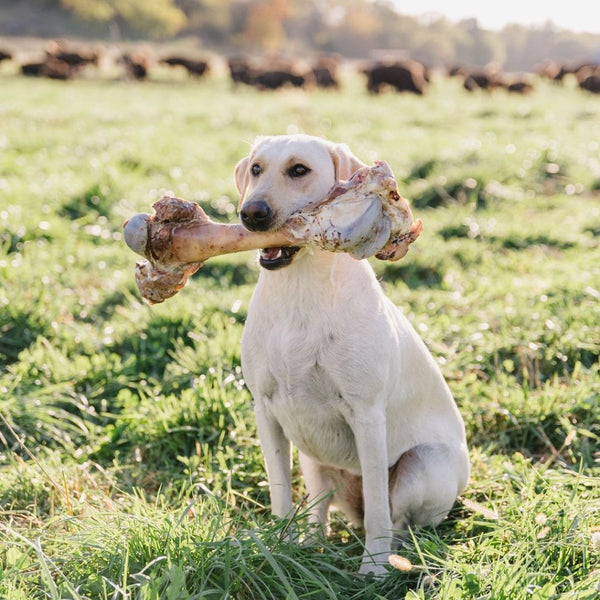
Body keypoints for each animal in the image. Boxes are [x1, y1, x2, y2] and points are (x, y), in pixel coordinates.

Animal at [234, 134, 468, 576]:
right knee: (319, 511)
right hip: (314, 459)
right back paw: (311, 545)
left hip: (421, 464)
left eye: (299, 170)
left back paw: (392, 555)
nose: (251, 213)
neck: (299, 290)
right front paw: (280, 551)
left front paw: (372, 569)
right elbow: (280, 496)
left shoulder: (367, 415)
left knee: (398, 520)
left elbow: (378, 505)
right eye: (256, 169)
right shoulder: (266, 411)